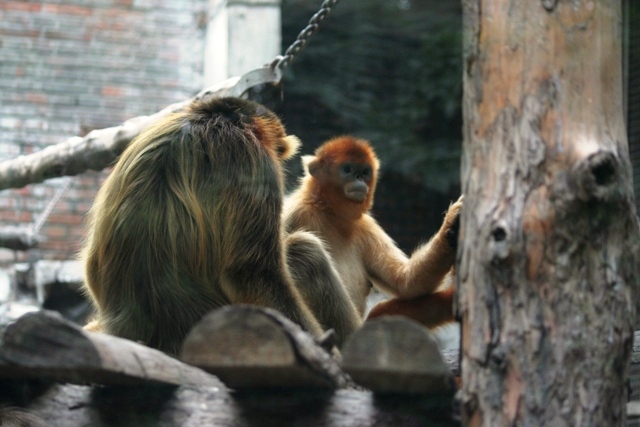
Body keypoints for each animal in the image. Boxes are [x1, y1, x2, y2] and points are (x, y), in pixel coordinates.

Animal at [283, 136, 462, 330]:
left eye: (365, 171)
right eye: (347, 169)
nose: (359, 177)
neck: (329, 213)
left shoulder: (365, 226)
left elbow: (406, 283)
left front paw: (452, 224)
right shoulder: (296, 213)